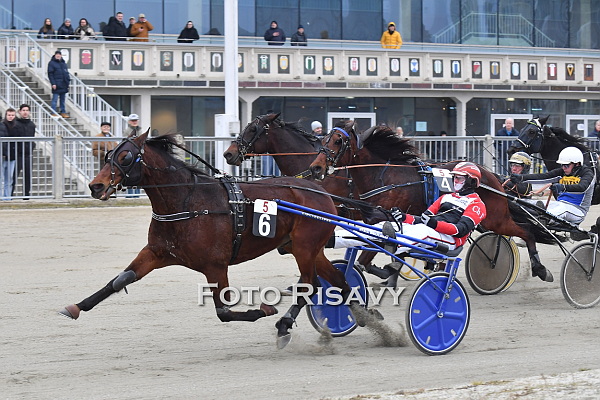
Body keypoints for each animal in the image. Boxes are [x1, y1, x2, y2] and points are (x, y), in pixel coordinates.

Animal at [59, 130, 355, 347]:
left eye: (126, 156)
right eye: (109, 154)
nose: (95, 186)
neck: (187, 201)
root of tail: (320, 190)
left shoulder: (215, 265)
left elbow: (223, 311)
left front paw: (265, 310)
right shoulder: (156, 252)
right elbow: (120, 279)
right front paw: (76, 307)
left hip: (305, 246)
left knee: (310, 284)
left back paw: (284, 325)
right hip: (304, 247)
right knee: (337, 280)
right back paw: (361, 315)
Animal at [308, 121, 556, 282]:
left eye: (338, 141)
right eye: (323, 139)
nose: (316, 167)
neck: (384, 176)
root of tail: (492, 177)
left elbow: (367, 260)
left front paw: (392, 269)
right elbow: (370, 257)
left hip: (496, 218)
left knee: (527, 231)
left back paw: (540, 269)